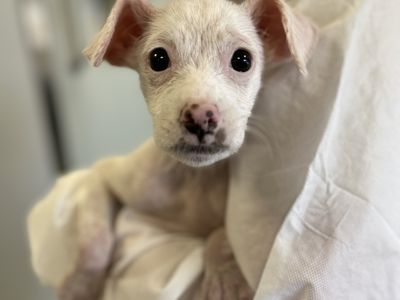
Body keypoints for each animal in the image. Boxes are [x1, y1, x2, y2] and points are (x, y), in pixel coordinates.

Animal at [26, 1, 318, 298]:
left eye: (242, 60)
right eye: (158, 59)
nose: (200, 117)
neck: (195, 178)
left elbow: (223, 233)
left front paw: (226, 281)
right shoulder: (101, 176)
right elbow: (95, 239)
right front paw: (81, 285)